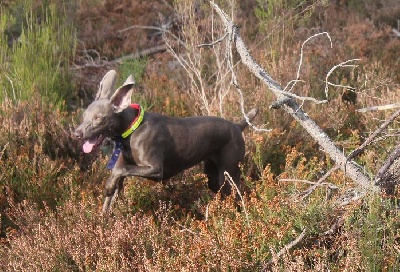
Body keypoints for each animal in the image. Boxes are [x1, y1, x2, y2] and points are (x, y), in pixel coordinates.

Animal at [73, 70, 258, 212]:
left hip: (229, 172)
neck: (131, 131)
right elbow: (113, 190)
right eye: (84, 115)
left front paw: (108, 186)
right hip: (213, 176)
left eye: (98, 118)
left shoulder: (155, 169)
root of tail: (237, 126)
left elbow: (121, 170)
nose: (76, 134)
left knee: (238, 194)